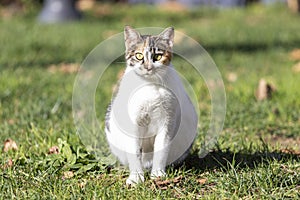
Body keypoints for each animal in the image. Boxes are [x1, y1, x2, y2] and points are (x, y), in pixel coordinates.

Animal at [104, 26, 198, 186]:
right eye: (139, 55)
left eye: (158, 57)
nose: (148, 67)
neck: (150, 85)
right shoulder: (133, 122)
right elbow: (135, 151)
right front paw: (136, 177)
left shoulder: (168, 121)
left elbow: (161, 150)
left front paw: (158, 175)